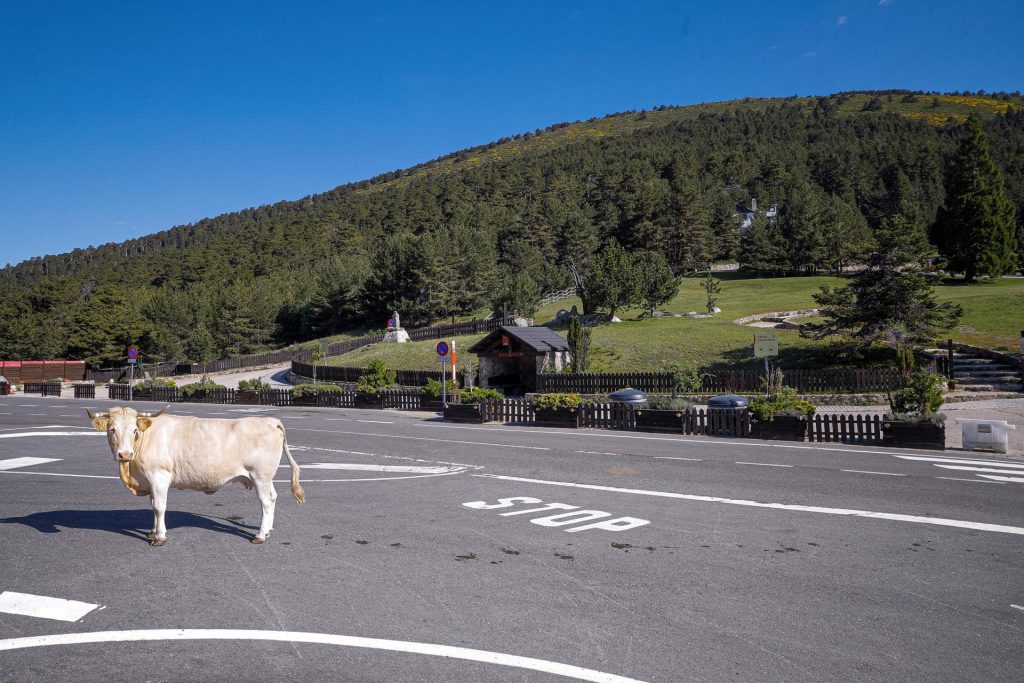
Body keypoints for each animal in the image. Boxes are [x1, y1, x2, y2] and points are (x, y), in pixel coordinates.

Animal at [87, 405, 304, 546]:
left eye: (134, 430)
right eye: (112, 429)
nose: (124, 454)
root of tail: (271, 421)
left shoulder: (159, 476)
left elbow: (159, 507)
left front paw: (160, 537)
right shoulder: (150, 480)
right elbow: (153, 506)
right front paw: (152, 532)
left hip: (260, 475)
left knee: (266, 502)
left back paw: (260, 535)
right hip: (265, 478)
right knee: (273, 497)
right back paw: (268, 530)